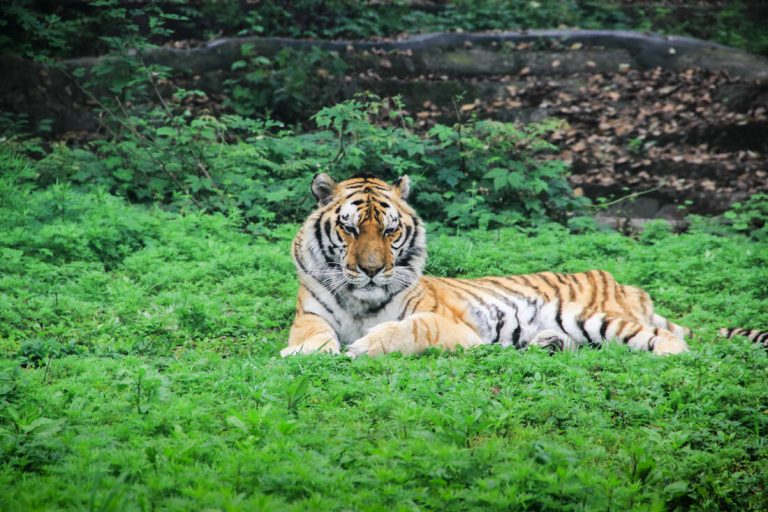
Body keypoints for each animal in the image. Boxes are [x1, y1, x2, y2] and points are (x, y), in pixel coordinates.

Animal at [282, 174, 768, 358]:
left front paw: (364, 346)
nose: (370, 271)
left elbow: (409, 328)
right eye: (349, 229)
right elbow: (313, 337)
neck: (361, 300)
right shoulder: (311, 315)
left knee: (669, 342)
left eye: (389, 231)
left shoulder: (452, 326)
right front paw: (306, 353)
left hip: (596, 317)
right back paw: (546, 345)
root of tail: (628, 287)